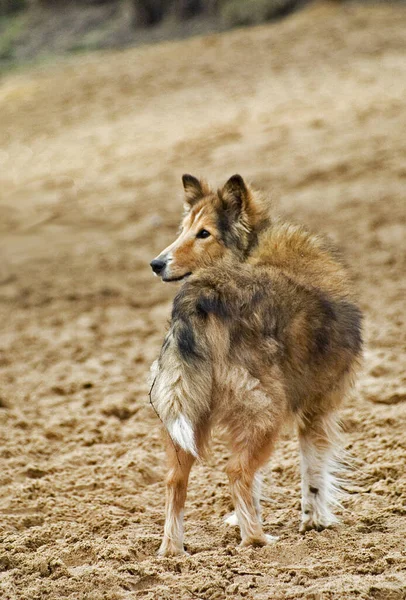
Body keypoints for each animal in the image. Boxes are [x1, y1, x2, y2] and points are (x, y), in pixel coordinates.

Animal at [148, 175, 362, 556]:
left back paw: (173, 551)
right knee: (236, 472)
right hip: (266, 414)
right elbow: (314, 472)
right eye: (184, 230)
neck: (250, 250)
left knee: (176, 480)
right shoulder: (320, 410)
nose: (156, 263)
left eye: (202, 233)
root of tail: (200, 298)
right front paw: (316, 522)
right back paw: (257, 540)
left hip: (183, 420)